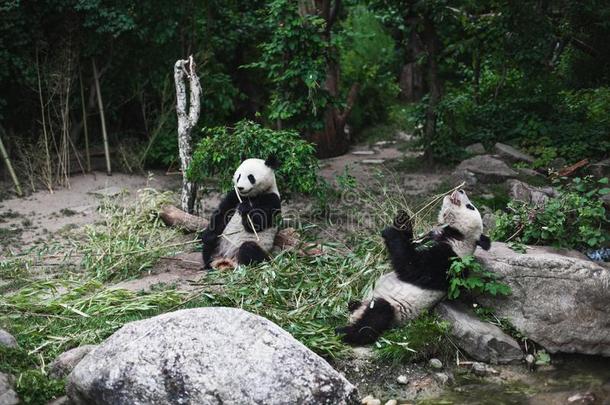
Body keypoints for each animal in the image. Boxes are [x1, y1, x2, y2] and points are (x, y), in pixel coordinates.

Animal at [334, 189, 486, 344]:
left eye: (470, 207)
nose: (461, 190)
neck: (457, 237)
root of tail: (357, 314)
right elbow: (410, 243)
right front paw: (402, 219)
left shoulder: (449, 260)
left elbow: (411, 265)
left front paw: (391, 231)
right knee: (359, 308)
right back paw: (352, 305)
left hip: (392, 309)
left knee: (375, 319)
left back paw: (342, 332)